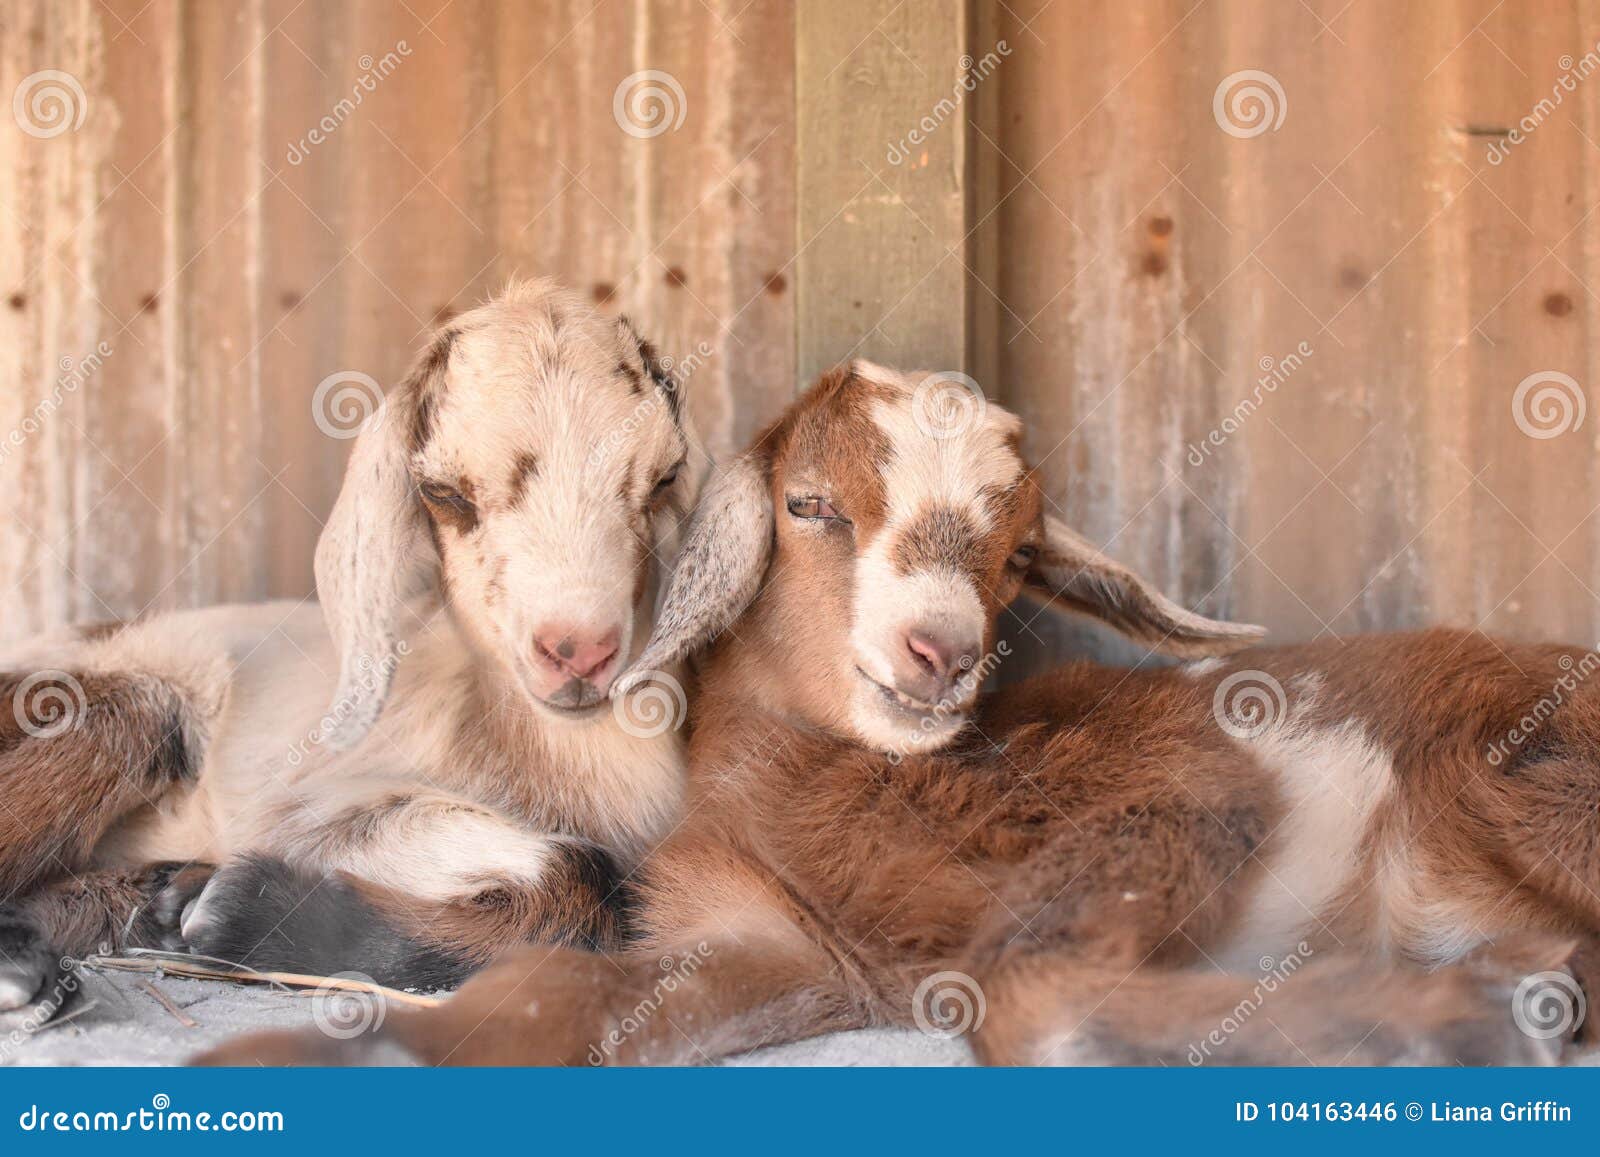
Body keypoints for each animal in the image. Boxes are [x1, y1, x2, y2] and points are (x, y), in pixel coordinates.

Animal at [0, 278, 688, 1011]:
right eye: (443, 493)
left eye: (664, 477)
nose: (579, 649)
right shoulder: (322, 808)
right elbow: (581, 874)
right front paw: (231, 913)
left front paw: (198, 911)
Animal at [206, 366, 1593, 1075]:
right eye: (810, 503)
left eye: (1019, 551)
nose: (941, 650)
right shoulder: (776, 941)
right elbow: (574, 998)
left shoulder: (1182, 785)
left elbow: (1028, 993)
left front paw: (1455, 1020)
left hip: (1521, 778)